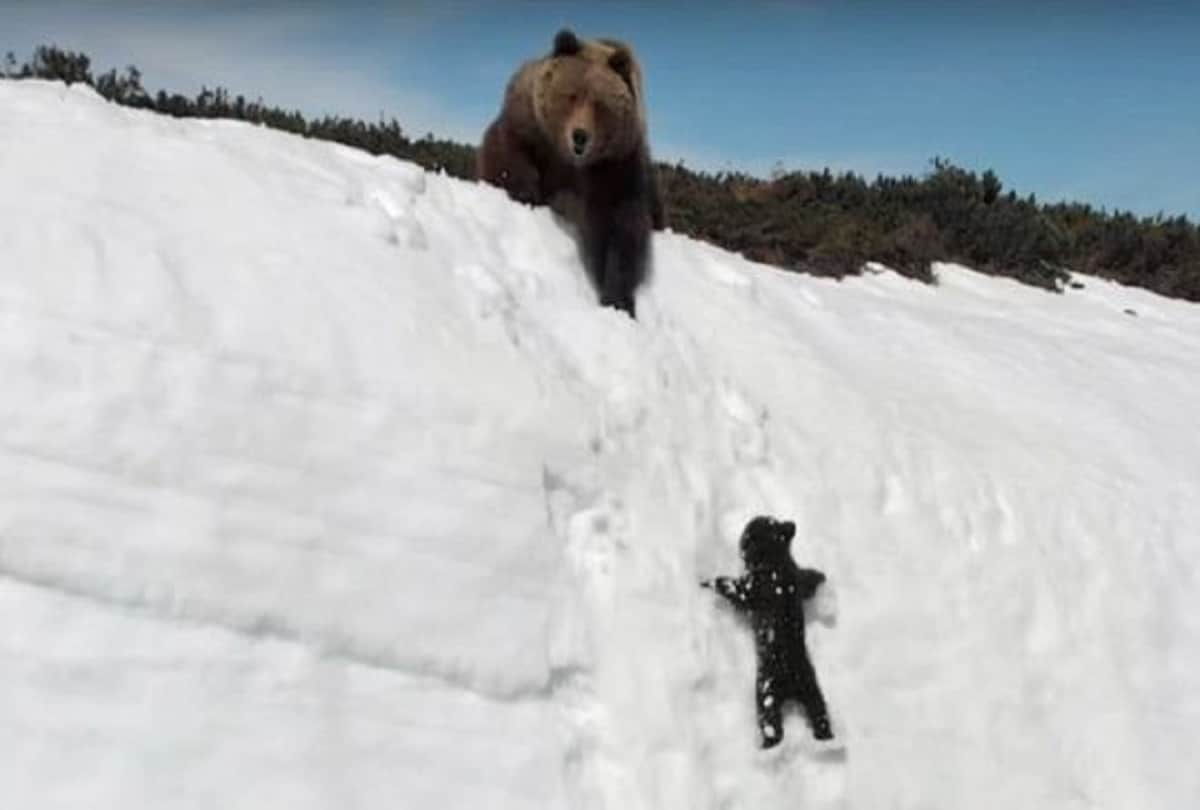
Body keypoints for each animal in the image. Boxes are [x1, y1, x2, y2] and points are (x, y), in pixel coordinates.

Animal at [476, 29, 666, 318]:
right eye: (572, 94)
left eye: (600, 104)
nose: (580, 136)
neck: (570, 162)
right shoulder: (528, 124)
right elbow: (506, 155)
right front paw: (526, 193)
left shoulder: (616, 168)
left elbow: (622, 229)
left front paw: (618, 299)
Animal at [701, 515, 835, 748]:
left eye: (747, 535)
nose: (741, 544)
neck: (775, 558)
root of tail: (792, 677)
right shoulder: (798, 577)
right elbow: (809, 579)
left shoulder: (747, 590)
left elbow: (728, 585)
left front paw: (706, 582)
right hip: (813, 692)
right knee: (820, 717)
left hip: (766, 693)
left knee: (772, 727)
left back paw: (768, 747)